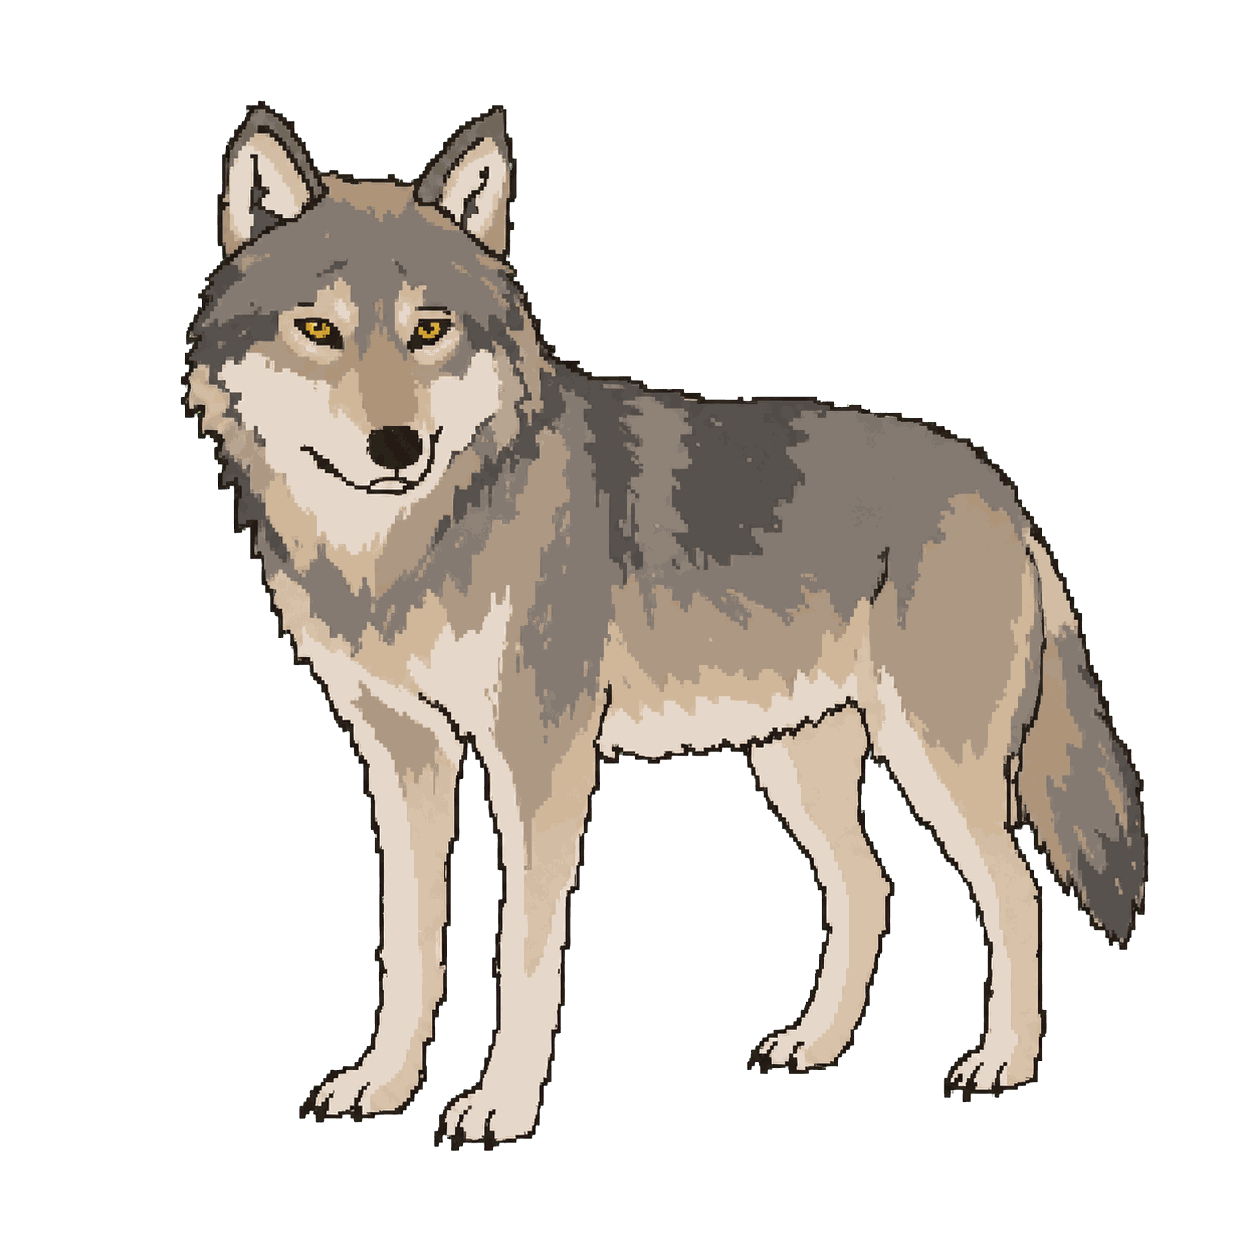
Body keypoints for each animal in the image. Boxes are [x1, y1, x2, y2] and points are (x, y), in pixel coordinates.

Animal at [188, 105, 1144, 1144]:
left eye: (429, 330)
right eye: (318, 329)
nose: (395, 448)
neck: (408, 543)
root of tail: (1001, 492)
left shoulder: (539, 757)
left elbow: (523, 948)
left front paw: (501, 1103)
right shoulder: (403, 754)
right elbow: (410, 942)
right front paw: (383, 1082)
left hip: (935, 762)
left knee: (1014, 891)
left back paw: (1003, 1062)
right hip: (797, 766)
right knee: (869, 888)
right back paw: (815, 1047)